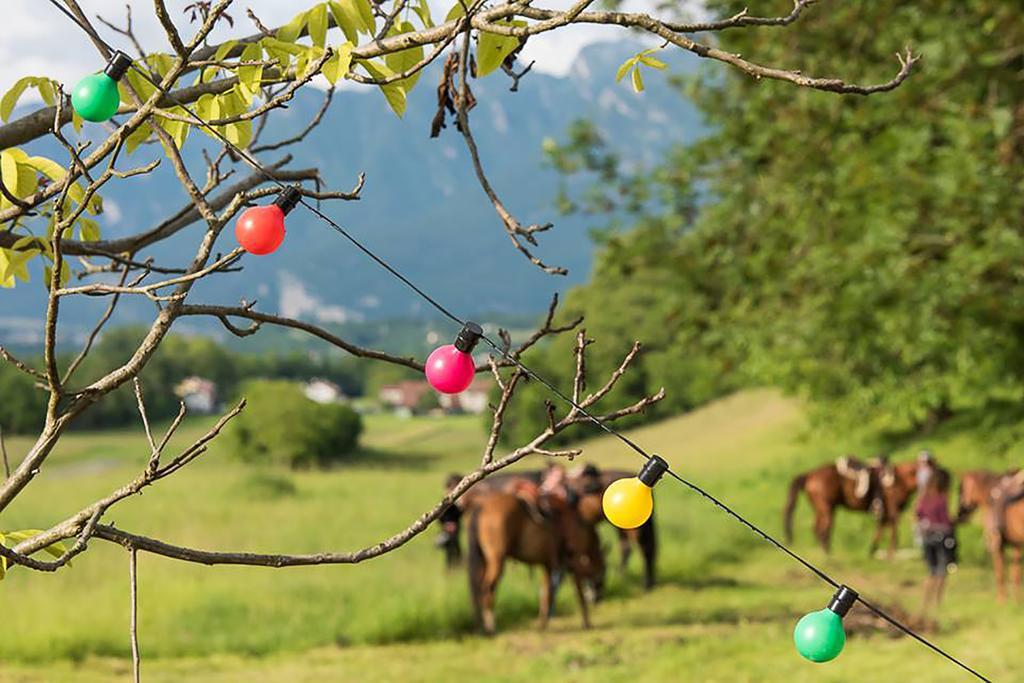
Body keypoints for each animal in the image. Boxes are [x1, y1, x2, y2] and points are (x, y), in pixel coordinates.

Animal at [468, 489, 602, 634]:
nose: (598, 598)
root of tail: (482, 506)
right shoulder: (574, 562)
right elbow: (579, 594)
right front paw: (586, 623)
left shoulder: (548, 565)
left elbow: (546, 594)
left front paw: (542, 624)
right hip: (497, 561)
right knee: (487, 589)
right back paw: (490, 627)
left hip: (484, 560)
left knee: (478, 590)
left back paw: (481, 627)